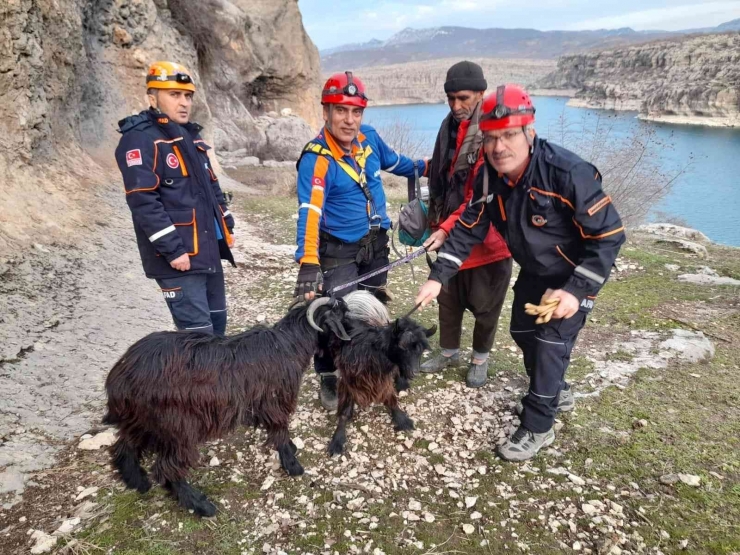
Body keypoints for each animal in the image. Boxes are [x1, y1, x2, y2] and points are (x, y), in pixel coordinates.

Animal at [102, 300, 352, 516]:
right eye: (343, 316)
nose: (352, 341)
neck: (288, 344)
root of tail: (120, 376)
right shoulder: (274, 402)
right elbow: (280, 430)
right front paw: (292, 465)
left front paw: (291, 449)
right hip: (177, 426)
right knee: (166, 468)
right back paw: (200, 505)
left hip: (141, 420)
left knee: (124, 445)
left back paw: (137, 481)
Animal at [304, 300, 434, 456]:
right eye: (402, 346)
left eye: (422, 349)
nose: (414, 372)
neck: (372, 350)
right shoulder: (349, 381)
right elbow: (345, 412)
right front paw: (337, 440)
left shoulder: (382, 379)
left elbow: (391, 399)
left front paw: (402, 420)